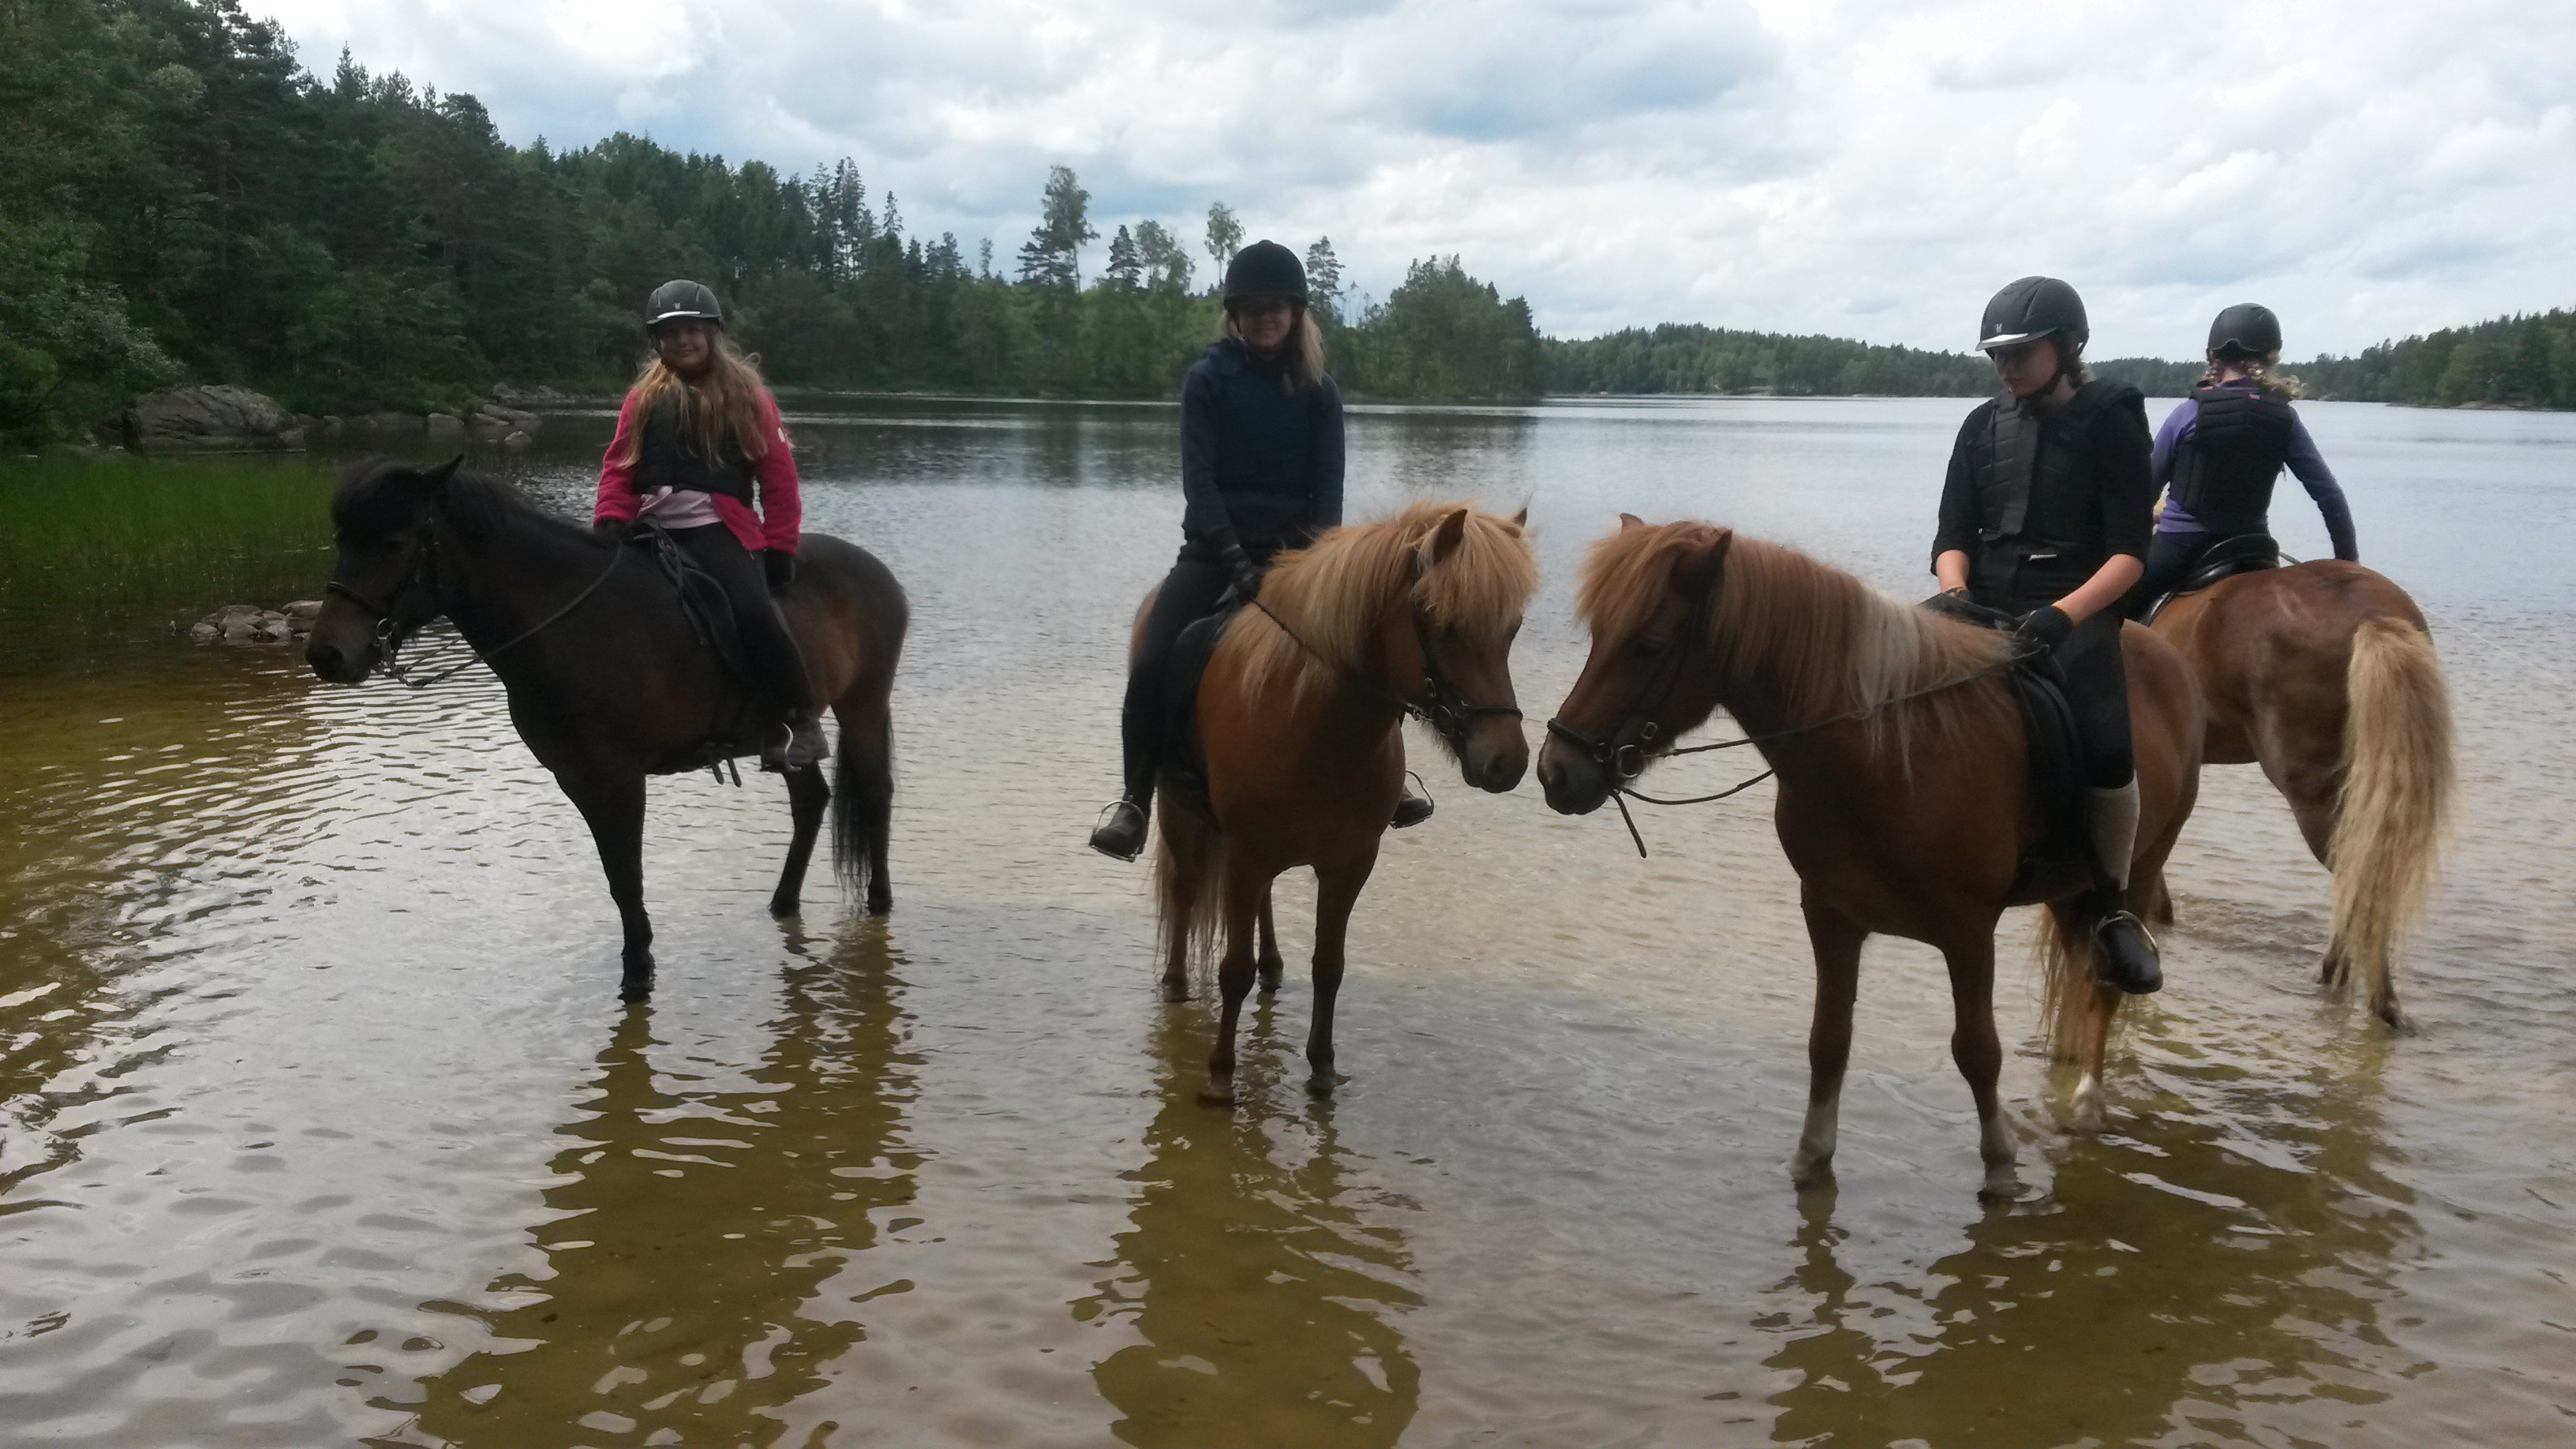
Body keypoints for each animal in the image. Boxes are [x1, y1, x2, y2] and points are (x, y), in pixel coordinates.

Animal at [305, 459, 906, 990]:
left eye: (392, 544)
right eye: (343, 543)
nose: (327, 654)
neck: (571, 622)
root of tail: (877, 570)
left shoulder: (618, 778)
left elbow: (627, 875)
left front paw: (637, 972)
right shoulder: (579, 778)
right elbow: (618, 880)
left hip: (863, 705)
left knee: (875, 794)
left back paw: (879, 901)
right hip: (779, 735)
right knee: (811, 800)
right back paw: (782, 905)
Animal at [1144, 495, 1525, 1093]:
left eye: (1513, 628)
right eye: (1441, 625)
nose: (1507, 762)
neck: (1316, 726)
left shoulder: (1349, 864)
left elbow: (1329, 966)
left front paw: (1322, 1069)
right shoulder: (1247, 854)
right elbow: (1233, 972)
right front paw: (1220, 1078)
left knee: (1261, 909)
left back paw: (1273, 967)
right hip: (1181, 813)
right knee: (1184, 890)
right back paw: (1178, 984)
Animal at [1535, 513, 2204, 1191]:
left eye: (1648, 646)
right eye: (1598, 636)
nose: (1555, 772)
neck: (1884, 754)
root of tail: (2167, 656)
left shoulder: (1968, 932)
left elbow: (1977, 1050)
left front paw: (1999, 1167)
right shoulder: (1831, 917)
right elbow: (1828, 1040)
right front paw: (1810, 1160)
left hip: (2139, 868)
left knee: (2105, 983)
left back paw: (2087, 1102)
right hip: (2069, 892)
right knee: (2079, 972)